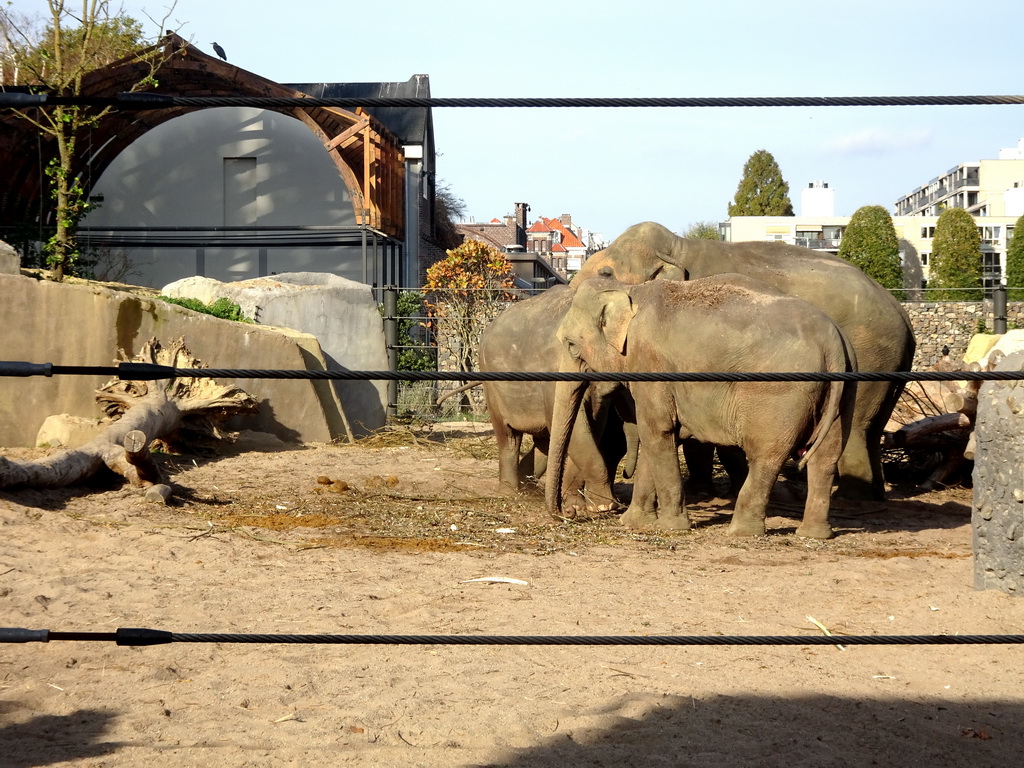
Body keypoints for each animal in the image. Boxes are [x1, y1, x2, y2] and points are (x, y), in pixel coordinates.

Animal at [477, 286, 630, 514]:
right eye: (571, 347)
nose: (566, 512)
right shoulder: (552, 371)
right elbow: (576, 429)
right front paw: (602, 506)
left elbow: (592, 426)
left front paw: (580, 504)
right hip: (491, 382)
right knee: (508, 436)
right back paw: (511, 493)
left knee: (544, 441)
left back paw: (527, 486)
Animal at [552, 276, 856, 540]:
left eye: (571, 345)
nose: (565, 513)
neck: (630, 288)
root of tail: (831, 339)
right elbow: (658, 436)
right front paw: (633, 522)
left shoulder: (650, 363)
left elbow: (657, 430)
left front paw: (671, 527)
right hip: (845, 387)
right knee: (825, 457)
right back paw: (814, 534)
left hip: (779, 395)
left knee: (766, 457)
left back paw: (741, 531)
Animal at [573, 222, 917, 501]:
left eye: (606, 273)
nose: (626, 474)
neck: (677, 247)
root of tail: (902, 314)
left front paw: (705, 492)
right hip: (892, 367)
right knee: (873, 427)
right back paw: (874, 494)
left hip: (870, 355)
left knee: (855, 426)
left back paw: (849, 497)